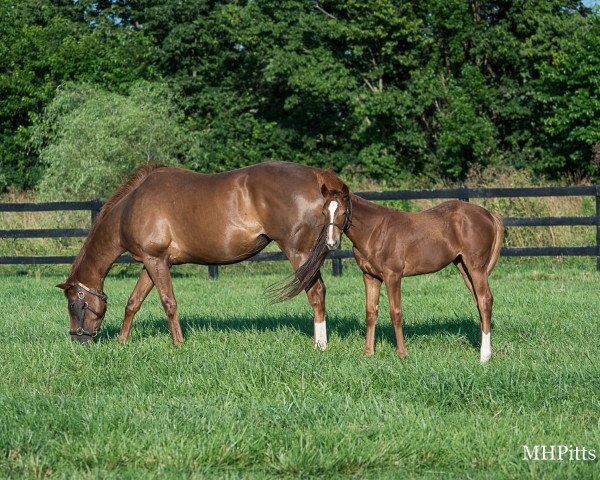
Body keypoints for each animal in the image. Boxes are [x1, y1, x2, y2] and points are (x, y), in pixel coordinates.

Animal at [57, 163, 352, 346]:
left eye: (74, 305)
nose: (78, 340)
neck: (131, 206)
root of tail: (319, 176)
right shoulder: (151, 263)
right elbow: (133, 302)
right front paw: (122, 341)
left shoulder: (156, 261)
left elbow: (168, 302)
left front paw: (178, 343)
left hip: (299, 254)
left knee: (316, 293)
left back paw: (320, 344)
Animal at [324, 193, 502, 362]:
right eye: (324, 212)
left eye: (343, 212)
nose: (331, 243)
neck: (375, 231)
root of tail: (489, 215)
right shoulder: (370, 277)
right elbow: (370, 313)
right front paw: (368, 353)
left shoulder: (393, 276)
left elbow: (396, 313)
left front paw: (402, 354)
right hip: (464, 268)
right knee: (479, 302)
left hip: (476, 267)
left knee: (485, 300)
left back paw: (484, 356)